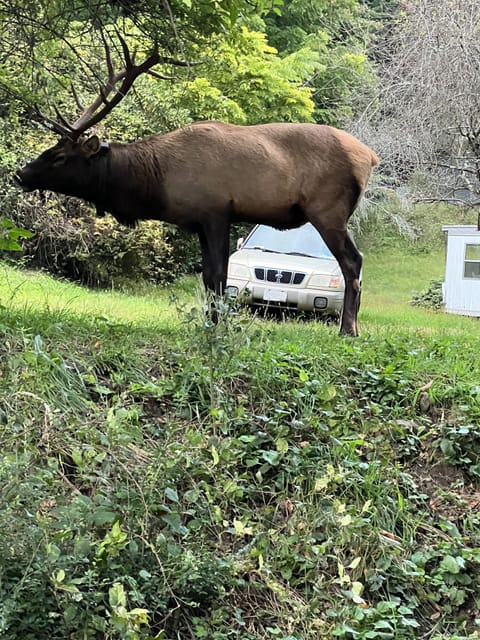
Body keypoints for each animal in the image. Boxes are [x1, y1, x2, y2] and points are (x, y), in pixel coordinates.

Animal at [14, 35, 378, 336]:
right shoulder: (200, 222)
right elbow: (207, 276)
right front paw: (209, 322)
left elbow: (218, 275)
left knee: (353, 261)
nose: (20, 174)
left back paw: (348, 329)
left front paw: (217, 326)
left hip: (328, 210)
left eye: (60, 156)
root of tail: (370, 156)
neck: (158, 181)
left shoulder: (216, 211)